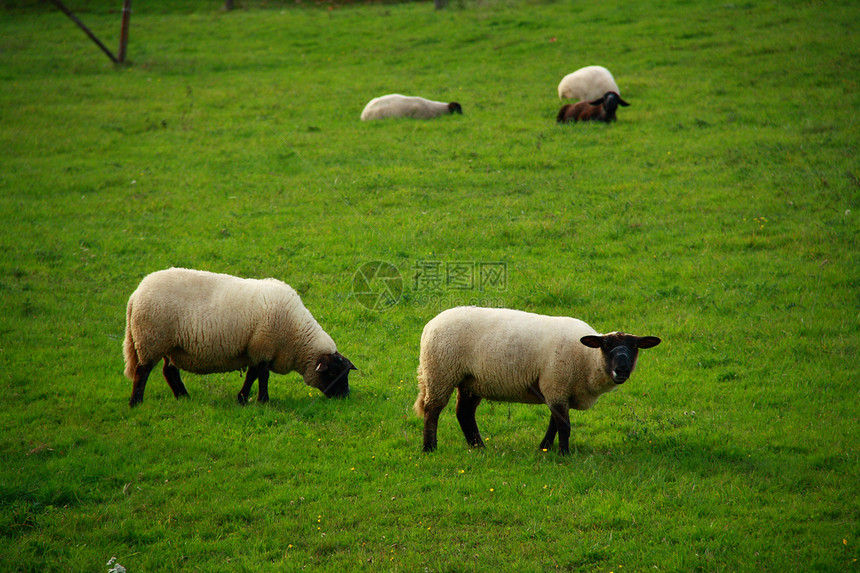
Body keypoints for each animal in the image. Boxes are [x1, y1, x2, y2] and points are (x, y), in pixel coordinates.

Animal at [122, 268, 354, 406]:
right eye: (333, 372)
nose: (345, 396)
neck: (295, 335)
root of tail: (135, 295)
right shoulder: (263, 346)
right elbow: (262, 376)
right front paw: (263, 401)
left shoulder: (254, 349)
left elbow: (252, 375)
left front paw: (242, 399)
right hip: (151, 339)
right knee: (142, 371)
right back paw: (136, 402)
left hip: (171, 345)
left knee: (169, 371)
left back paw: (184, 397)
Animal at [414, 306, 660, 454]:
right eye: (606, 345)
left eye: (634, 347)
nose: (621, 370)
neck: (588, 358)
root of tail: (431, 324)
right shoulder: (556, 384)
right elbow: (564, 425)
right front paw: (564, 453)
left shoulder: (557, 388)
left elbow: (554, 423)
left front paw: (545, 448)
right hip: (440, 373)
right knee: (433, 410)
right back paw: (429, 448)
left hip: (471, 381)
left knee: (464, 413)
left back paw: (478, 446)